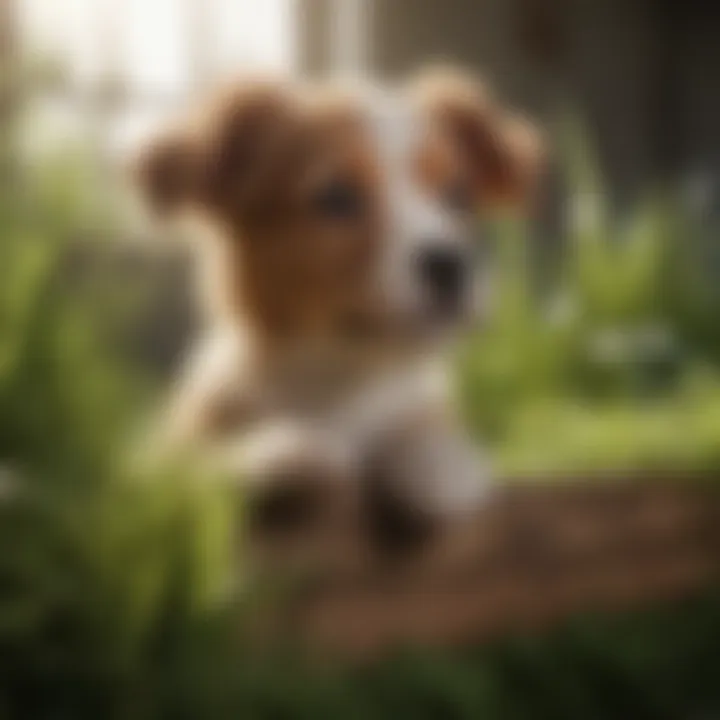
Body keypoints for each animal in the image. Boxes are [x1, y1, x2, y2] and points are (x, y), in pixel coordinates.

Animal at [134, 67, 540, 552]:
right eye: (336, 197)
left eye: (457, 194)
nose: (450, 264)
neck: (341, 377)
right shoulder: (154, 459)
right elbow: (195, 466)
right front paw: (276, 452)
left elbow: (423, 426)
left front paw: (441, 460)